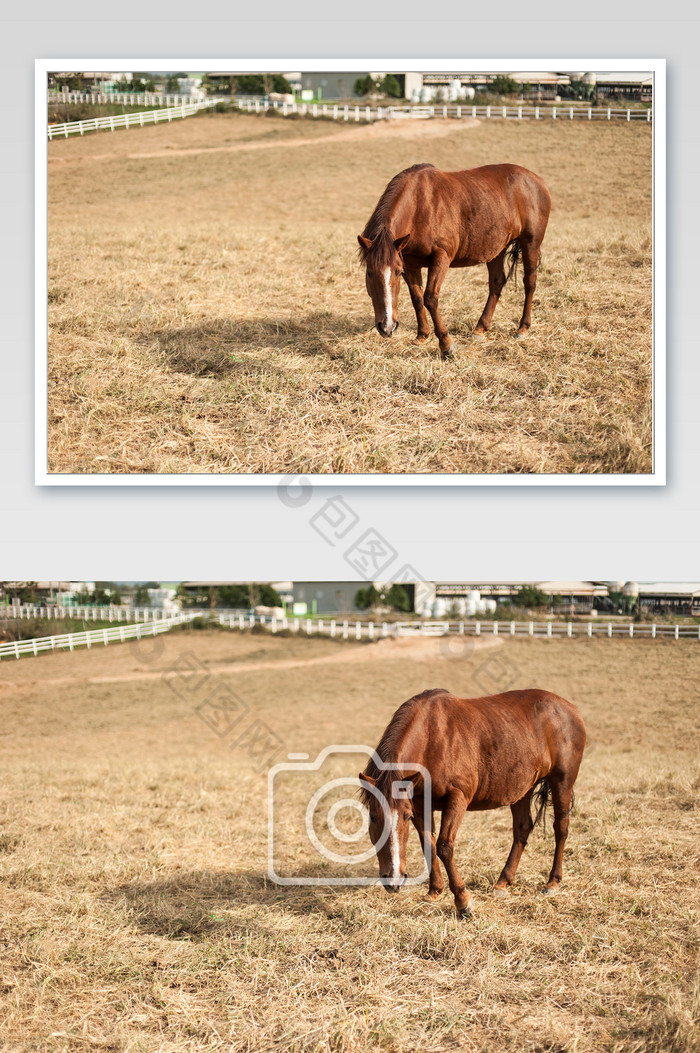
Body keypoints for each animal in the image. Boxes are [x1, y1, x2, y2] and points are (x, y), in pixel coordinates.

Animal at [357, 162, 547, 355]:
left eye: (397, 272)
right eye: (369, 273)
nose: (387, 327)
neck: (419, 206)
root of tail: (536, 180)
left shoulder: (441, 257)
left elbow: (430, 298)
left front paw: (446, 343)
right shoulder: (410, 263)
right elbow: (417, 298)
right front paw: (422, 336)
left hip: (530, 242)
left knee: (529, 282)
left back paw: (523, 328)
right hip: (497, 248)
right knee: (497, 282)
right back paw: (480, 329)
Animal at [360, 686, 585, 918]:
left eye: (405, 817)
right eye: (373, 817)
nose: (393, 880)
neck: (433, 738)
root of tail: (569, 709)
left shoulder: (457, 798)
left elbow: (444, 846)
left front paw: (462, 899)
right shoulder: (420, 803)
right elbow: (428, 843)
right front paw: (434, 891)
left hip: (562, 780)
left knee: (561, 828)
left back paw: (553, 882)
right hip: (522, 788)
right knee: (522, 828)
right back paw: (503, 882)